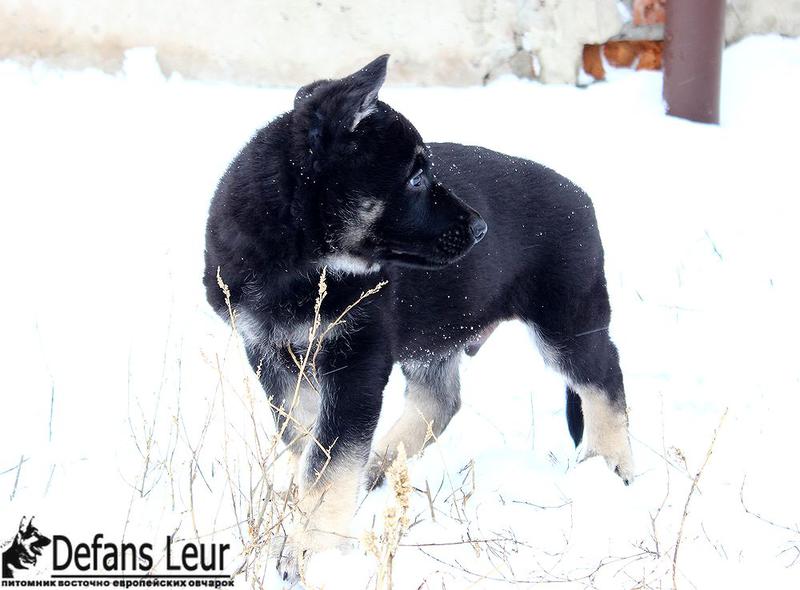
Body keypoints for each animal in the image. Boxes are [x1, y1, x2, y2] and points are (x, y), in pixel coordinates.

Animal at [203, 54, 636, 580]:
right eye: (414, 179)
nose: (482, 228)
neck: (301, 260)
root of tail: (582, 197)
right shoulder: (269, 352)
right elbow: (307, 442)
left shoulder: (357, 358)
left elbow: (329, 461)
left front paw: (307, 551)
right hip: (436, 333)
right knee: (440, 401)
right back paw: (377, 467)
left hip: (565, 321)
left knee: (603, 379)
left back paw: (610, 467)